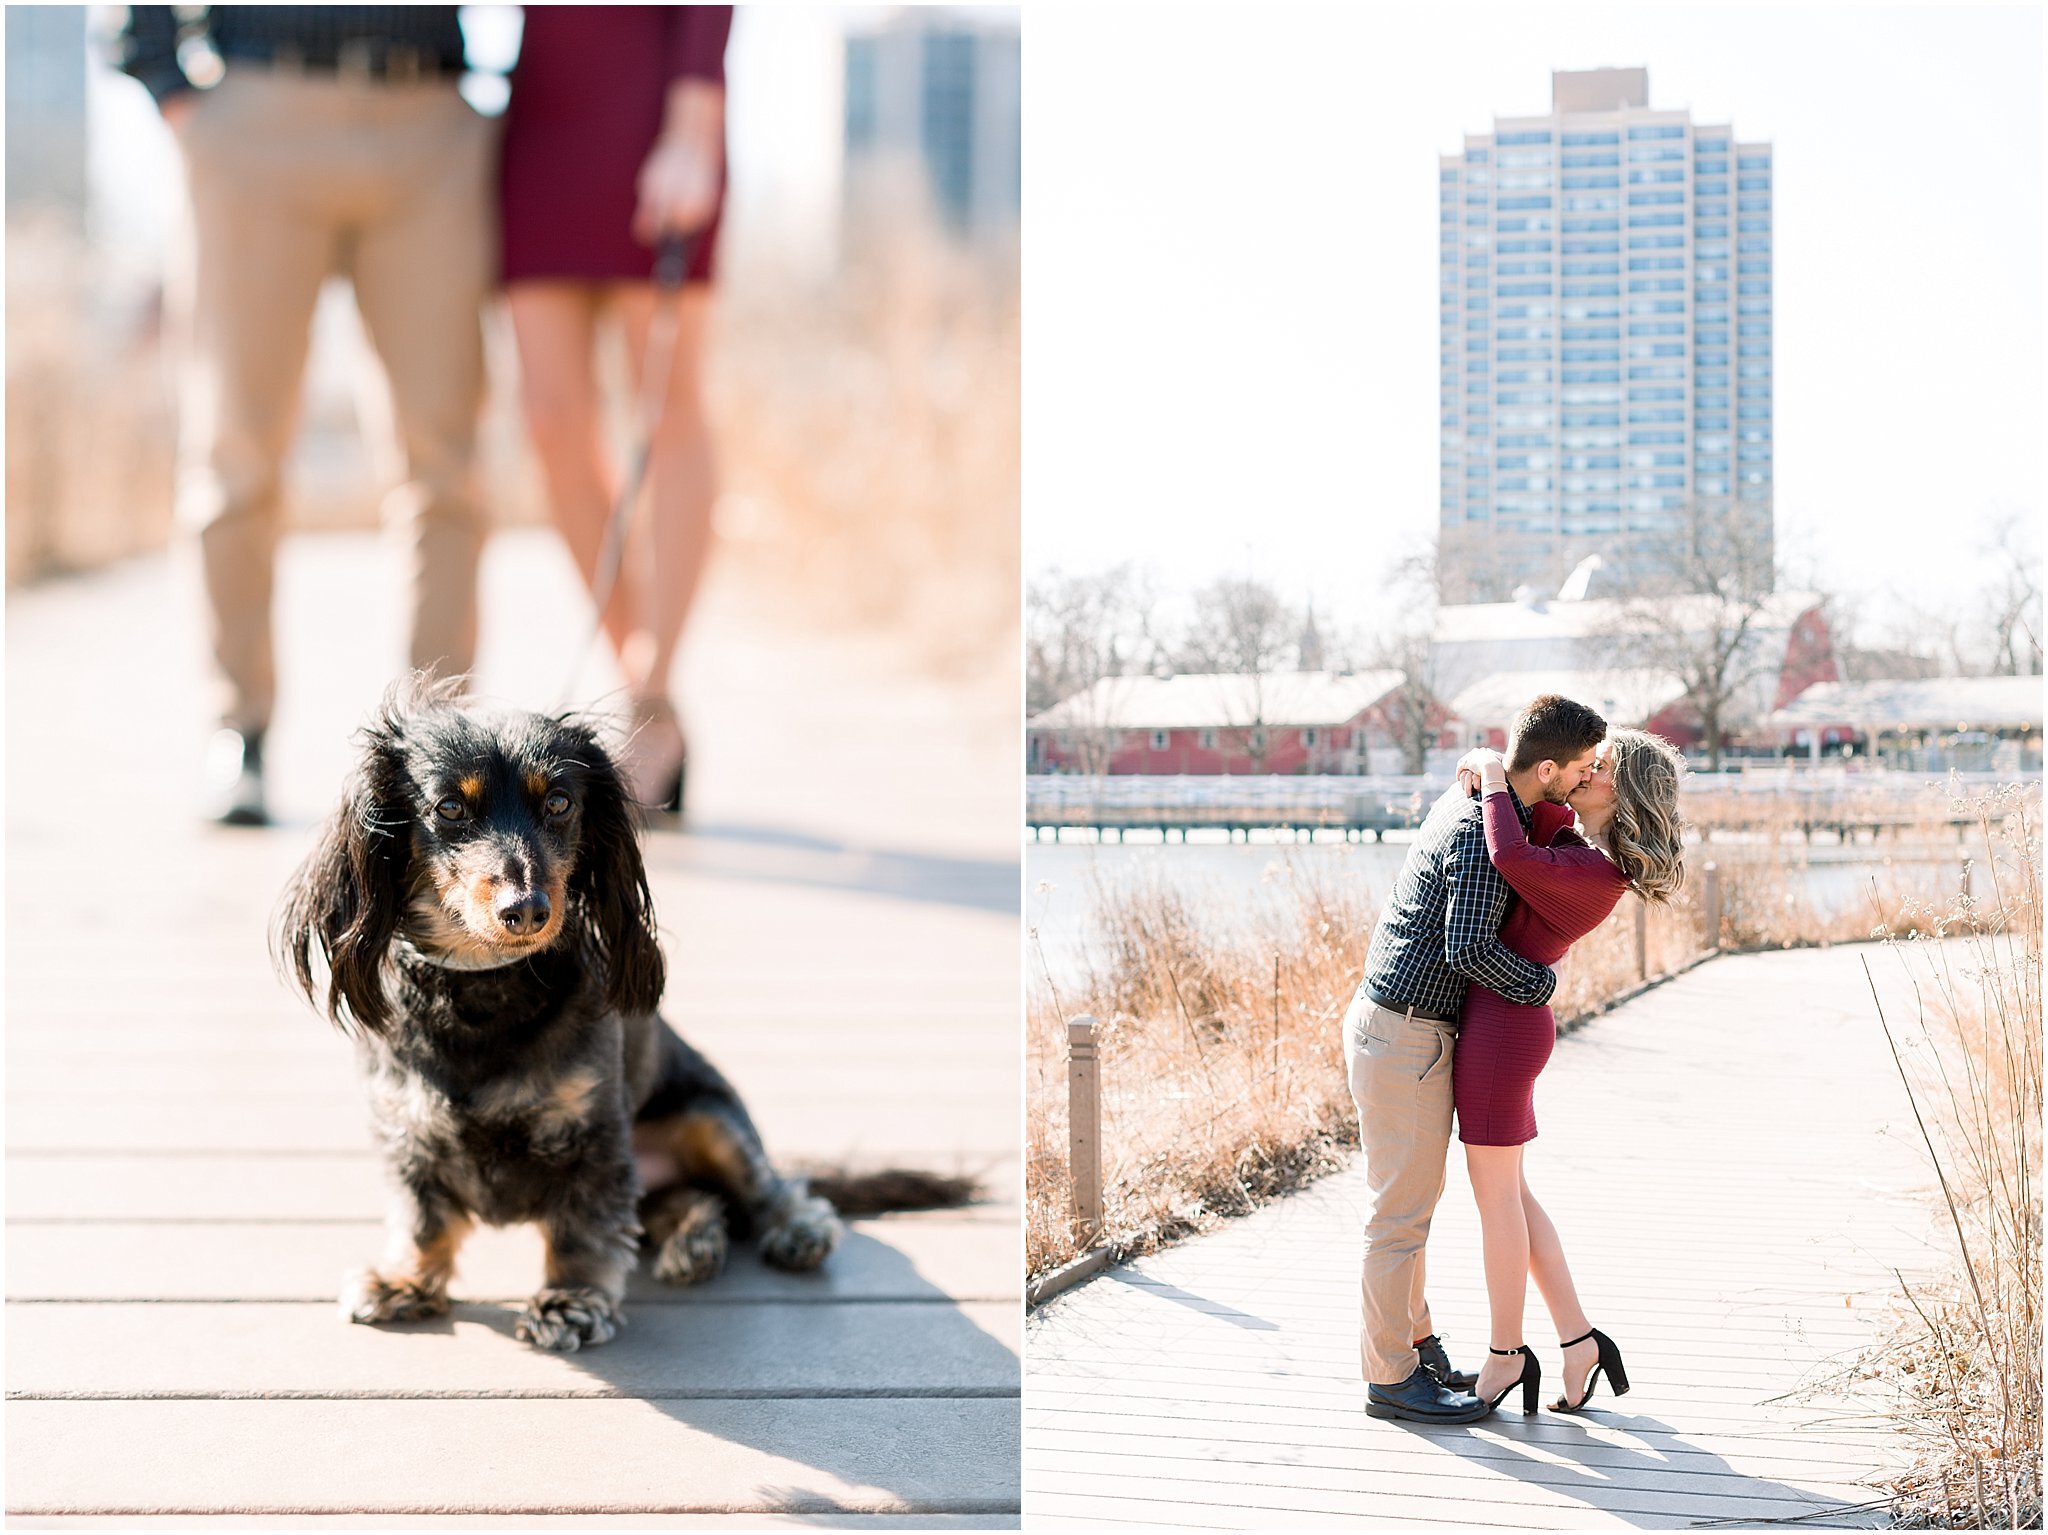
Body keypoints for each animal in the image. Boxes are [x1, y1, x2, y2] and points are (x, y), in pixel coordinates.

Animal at [276, 679, 876, 1350]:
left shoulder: (593, 1137)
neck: (484, 987)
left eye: (560, 802)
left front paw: (571, 1301)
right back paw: (696, 1241)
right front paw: (405, 1281)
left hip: (708, 1116)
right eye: (451, 808)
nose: (527, 909)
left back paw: (794, 1230)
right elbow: (423, 1219)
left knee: (766, 1187)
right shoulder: (409, 1132)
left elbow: (582, 1229)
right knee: (687, 1202)